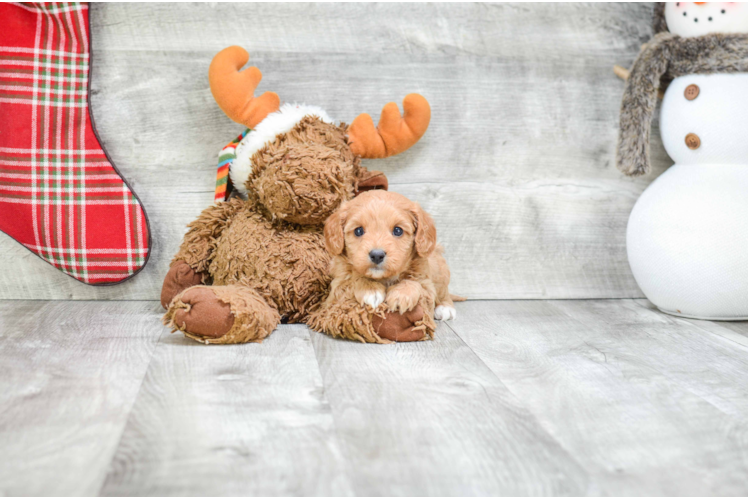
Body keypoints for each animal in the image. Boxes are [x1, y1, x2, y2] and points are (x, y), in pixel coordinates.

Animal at [324, 189, 458, 322]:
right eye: (358, 231)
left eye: (398, 230)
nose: (377, 255)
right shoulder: (337, 288)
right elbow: (353, 279)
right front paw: (370, 290)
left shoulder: (425, 283)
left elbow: (415, 283)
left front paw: (402, 295)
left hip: (440, 271)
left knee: (443, 292)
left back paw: (445, 308)